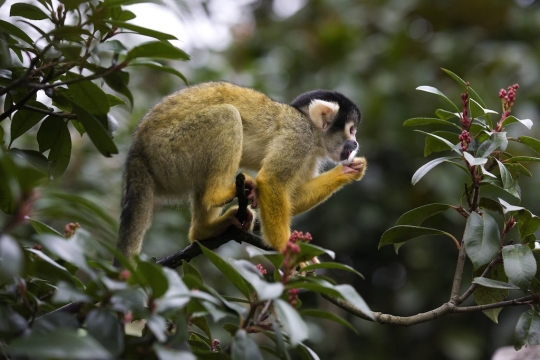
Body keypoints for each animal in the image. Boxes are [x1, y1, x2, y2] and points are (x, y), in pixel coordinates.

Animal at [116, 82, 364, 262]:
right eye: (351, 130)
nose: (355, 143)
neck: (312, 131)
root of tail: (137, 153)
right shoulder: (299, 137)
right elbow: (271, 181)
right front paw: (287, 250)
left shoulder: (309, 154)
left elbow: (291, 194)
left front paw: (349, 170)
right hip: (168, 152)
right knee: (226, 115)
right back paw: (217, 194)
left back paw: (203, 231)